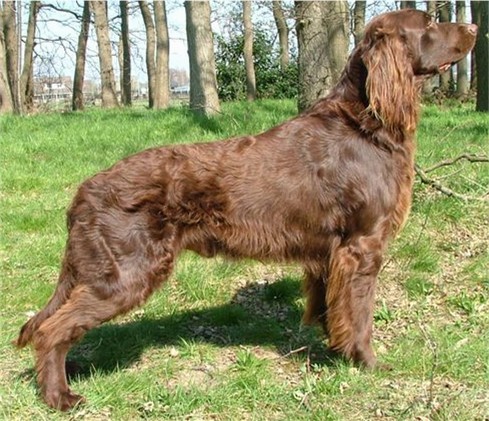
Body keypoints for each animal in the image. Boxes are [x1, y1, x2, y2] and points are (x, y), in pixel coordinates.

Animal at [16, 9, 476, 410]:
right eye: (429, 23)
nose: (473, 26)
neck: (366, 123)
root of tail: (83, 192)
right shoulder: (362, 246)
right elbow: (359, 313)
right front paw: (367, 362)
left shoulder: (331, 253)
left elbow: (333, 308)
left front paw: (334, 350)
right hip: (127, 272)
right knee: (51, 330)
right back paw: (59, 396)